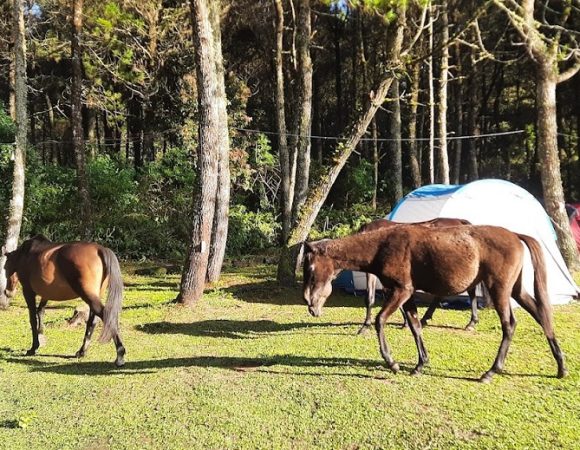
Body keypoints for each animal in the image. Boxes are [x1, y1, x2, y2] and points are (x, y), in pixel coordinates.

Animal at [2, 236, 125, 366]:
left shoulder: (28, 292)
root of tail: (99, 249)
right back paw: (82, 351)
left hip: (88, 296)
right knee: (92, 321)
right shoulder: (46, 294)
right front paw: (41, 335)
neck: (25, 254)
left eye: (5, 267)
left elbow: (33, 319)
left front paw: (34, 347)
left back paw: (120, 354)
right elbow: (40, 312)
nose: (8, 292)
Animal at [304, 225, 568, 384]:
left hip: (500, 290)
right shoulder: (407, 295)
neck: (383, 246)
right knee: (542, 316)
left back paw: (491, 371)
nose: (310, 305)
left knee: (509, 325)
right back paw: (561, 367)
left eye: (311, 269)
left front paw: (393, 363)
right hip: (516, 290)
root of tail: (514, 234)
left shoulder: (401, 291)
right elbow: (415, 326)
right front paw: (420, 364)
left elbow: (380, 321)